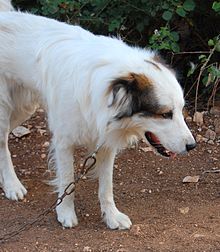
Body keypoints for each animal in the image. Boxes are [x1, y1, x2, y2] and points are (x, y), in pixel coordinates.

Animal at [0, 0, 196, 229]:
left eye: (181, 110)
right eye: (165, 114)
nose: (192, 146)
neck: (106, 90)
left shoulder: (106, 142)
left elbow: (106, 187)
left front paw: (112, 216)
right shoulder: (64, 142)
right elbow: (67, 181)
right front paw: (65, 213)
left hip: (23, 109)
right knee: (3, 145)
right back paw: (12, 185)